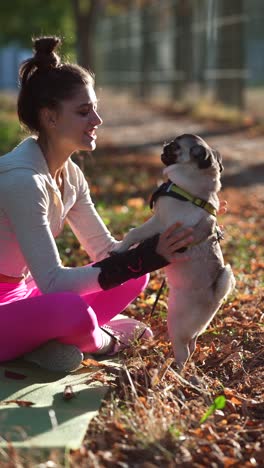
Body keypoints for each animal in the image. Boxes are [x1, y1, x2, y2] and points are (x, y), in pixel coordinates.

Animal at [112, 134, 236, 370]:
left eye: (176, 147)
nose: (165, 144)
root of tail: (214, 297)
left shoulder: (158, 223)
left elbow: (134, 233)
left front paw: (119, 247)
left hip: (176, 324)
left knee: (184, 352)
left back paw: (172, 370)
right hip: (192, 328)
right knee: (193, 344)